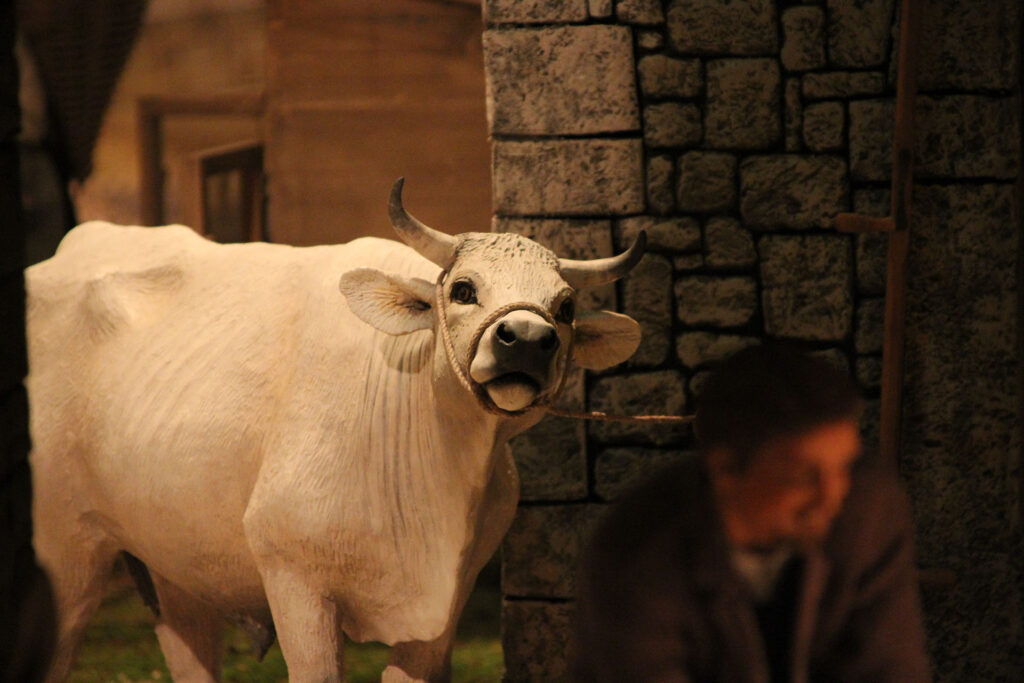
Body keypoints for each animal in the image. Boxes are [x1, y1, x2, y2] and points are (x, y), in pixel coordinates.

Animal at [26, 179, 646, 682]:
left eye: (565, 307)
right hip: (64, 551)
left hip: (174, 563)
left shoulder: (446, 601)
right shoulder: (294, 579)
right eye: (463, 290)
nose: (526, 340)